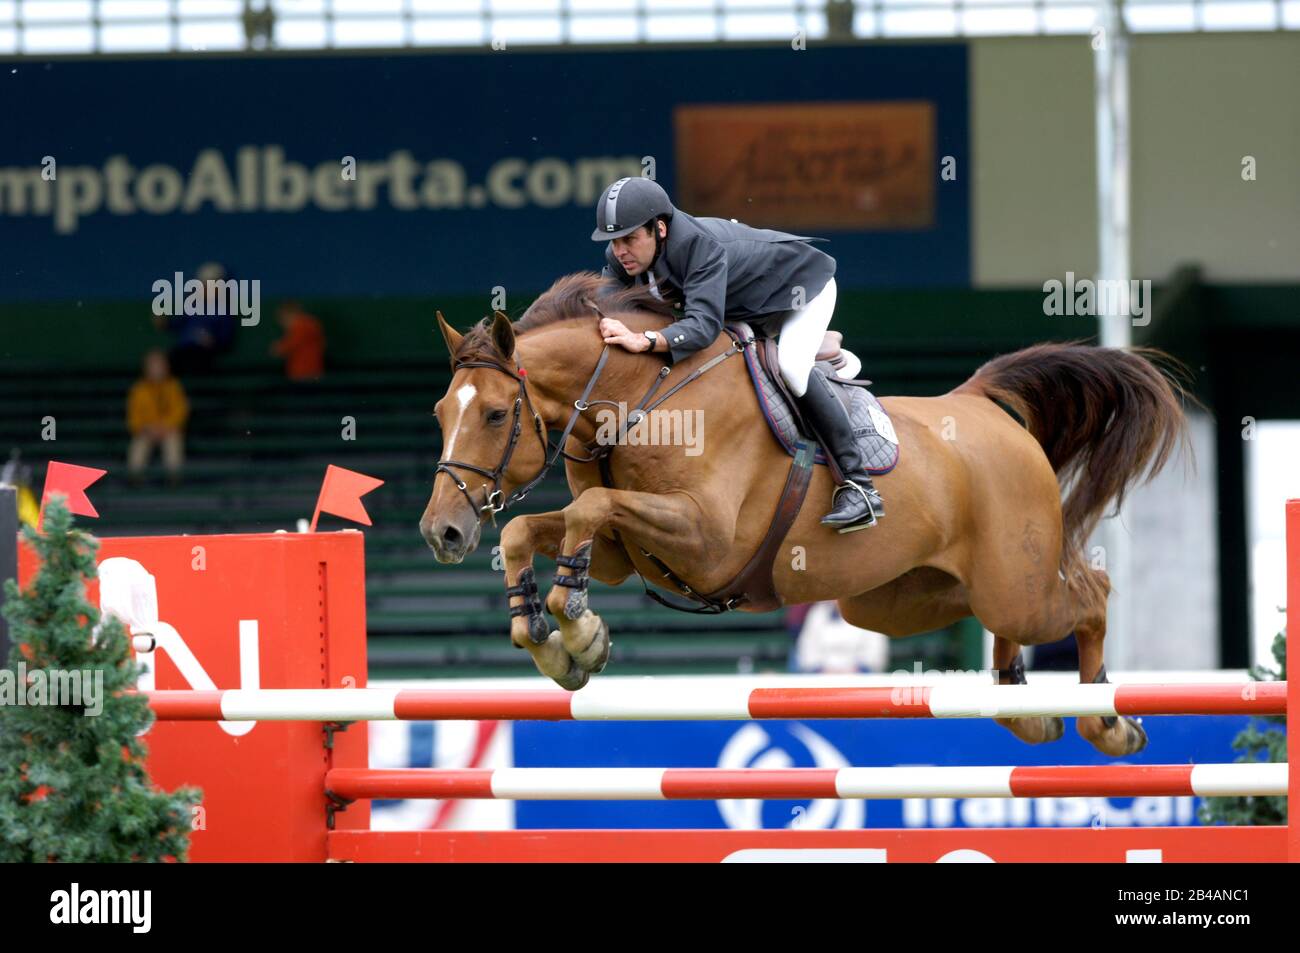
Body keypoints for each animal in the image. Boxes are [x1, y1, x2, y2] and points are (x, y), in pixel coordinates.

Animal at [418, 271, 1190, 754]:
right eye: (439, 414)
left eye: (495, 414)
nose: (442, 532)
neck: (644, 391)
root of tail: (981, 405)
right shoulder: (616, 550)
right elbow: (538, 528)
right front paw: (549, 636)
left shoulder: (708, 538)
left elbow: (592, 511)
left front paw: (579, 630)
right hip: (902, 599)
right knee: (1000, 625)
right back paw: (1024, 712)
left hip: (1014, 583)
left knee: (1090, 594)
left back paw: (1107, 722)